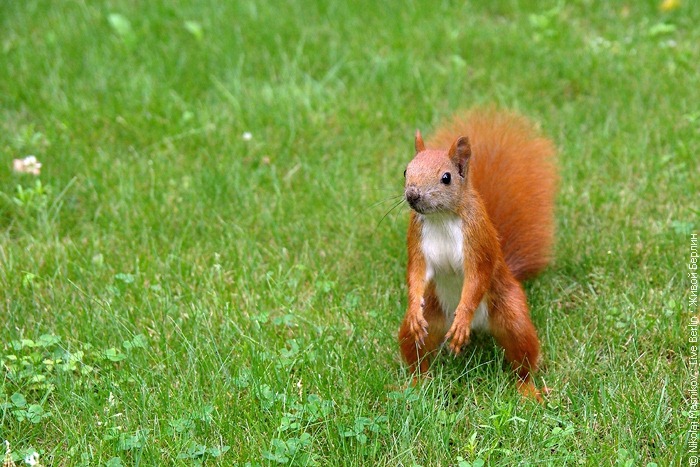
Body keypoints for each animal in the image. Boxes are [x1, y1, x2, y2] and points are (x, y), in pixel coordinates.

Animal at [397, 109, 557, 399]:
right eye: (406, 171)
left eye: (446, 177)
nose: (412, 195)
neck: (441, 218)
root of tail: (481, 326)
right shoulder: (417, 239)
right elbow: (416, 273)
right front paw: (414, 307)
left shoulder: (478, 240)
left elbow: (477, 277)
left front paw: (462, 319)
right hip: (431, 317)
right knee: (416, 353)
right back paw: (415, 383)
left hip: (510, 314)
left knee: (523, 356)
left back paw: (527, 389)